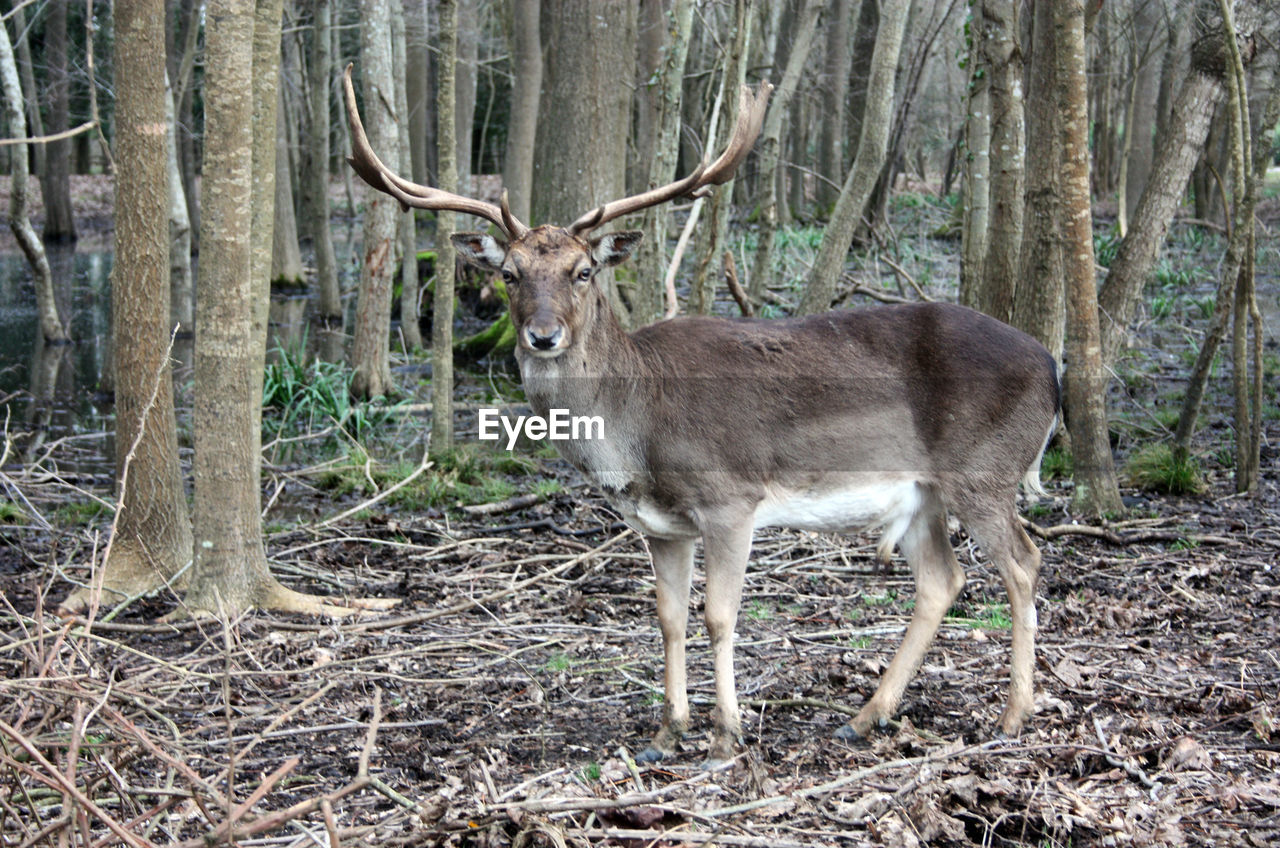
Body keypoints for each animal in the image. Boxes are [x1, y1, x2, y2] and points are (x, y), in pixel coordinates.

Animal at [343, 66, 1059, 768]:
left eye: (582, 271)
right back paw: (863, 718)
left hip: (984, 470)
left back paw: (1013, 716)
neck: (634, 432)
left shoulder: (730, 497)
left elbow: (719, 616)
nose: (544, 336)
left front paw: (724, 737)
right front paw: (667, 733)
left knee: (1024, 562)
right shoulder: (662, 525)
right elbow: (668, 617)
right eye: (511, 274)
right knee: (944, 579)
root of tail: (1053, 369)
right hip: (921, 493)